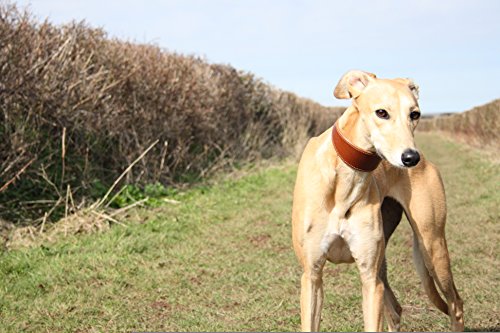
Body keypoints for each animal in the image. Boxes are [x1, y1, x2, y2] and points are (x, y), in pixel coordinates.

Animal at [292, 69, 462, 330]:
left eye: (415, 114)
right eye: (381, 112)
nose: (410, 158)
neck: (346, 175)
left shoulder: (370, 279)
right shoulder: (312, 275)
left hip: (432, 246)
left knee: (456, 304)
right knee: (396, 310)